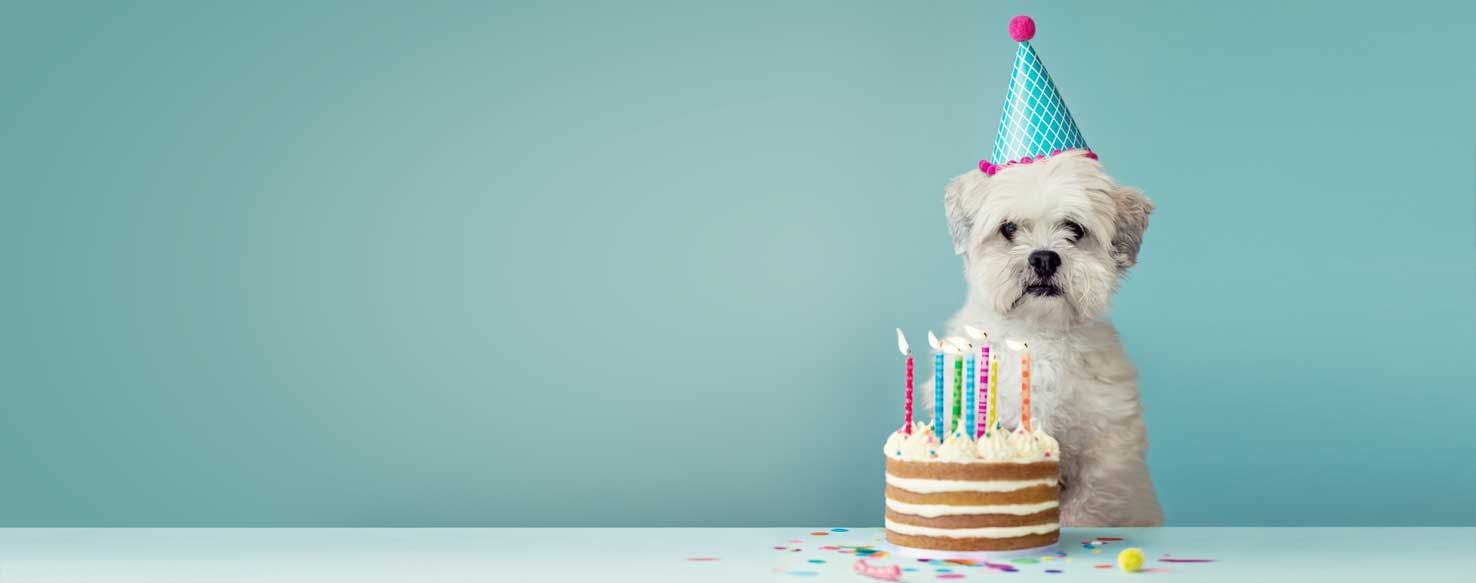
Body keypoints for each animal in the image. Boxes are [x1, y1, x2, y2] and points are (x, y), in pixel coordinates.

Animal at [921, 148, 1163, 528]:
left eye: (1074, 228)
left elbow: (1088, 505)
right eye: (1008, 228)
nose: (1045, 257)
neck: (1036, 334)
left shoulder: (1106, 453)